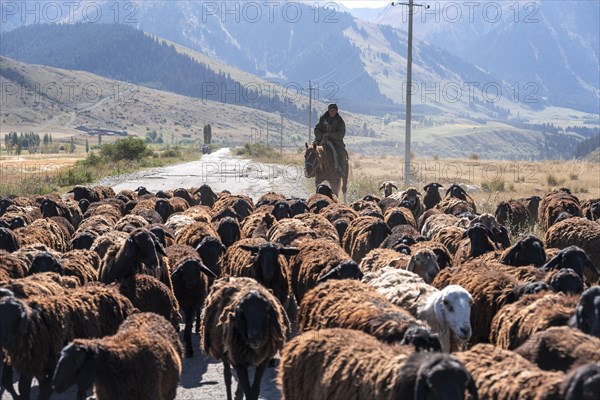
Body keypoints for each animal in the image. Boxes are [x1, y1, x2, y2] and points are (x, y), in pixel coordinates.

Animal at [0, 284, 134, 400]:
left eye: (12, 318)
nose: (4, 340)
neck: (36, 325)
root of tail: (112, 290)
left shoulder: (53, 367)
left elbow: (44, 393)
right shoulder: (30, 365)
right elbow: (23, 390)